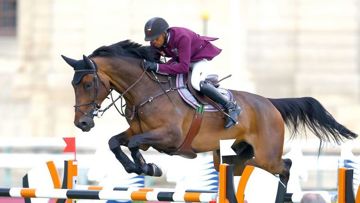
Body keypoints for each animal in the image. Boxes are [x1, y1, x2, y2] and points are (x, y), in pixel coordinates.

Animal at [61, 39, 358, 186]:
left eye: (87, 84)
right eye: (73, 85)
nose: (82, 123)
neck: (145, 90)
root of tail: (270, 103)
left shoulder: (168, 136)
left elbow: (134, 144)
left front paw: (148, 166)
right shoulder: (139, 132)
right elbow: (115, 142)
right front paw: (140, 166)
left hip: (267, 155)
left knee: (285, 167)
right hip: (232, 155)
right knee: (239, 169)